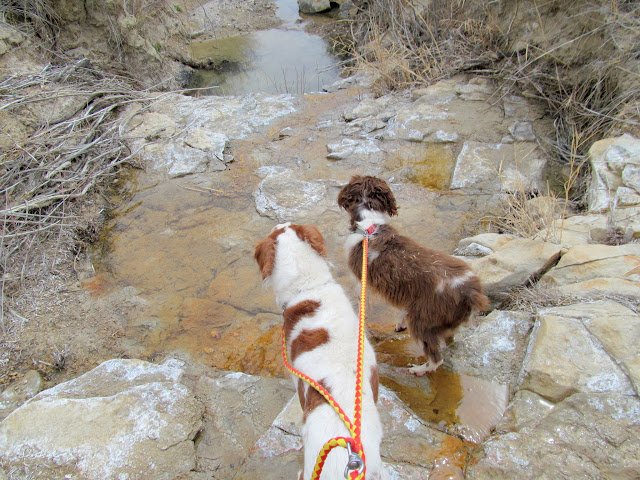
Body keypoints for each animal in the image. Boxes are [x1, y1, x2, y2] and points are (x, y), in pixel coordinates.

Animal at [337, 175, 489, 375]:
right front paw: (399, 324)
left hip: (422, 320)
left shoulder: (360, 280)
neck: (369, 225)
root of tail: (470, 291)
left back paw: (418, 369)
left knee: (436, 359)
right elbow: (403, 310)